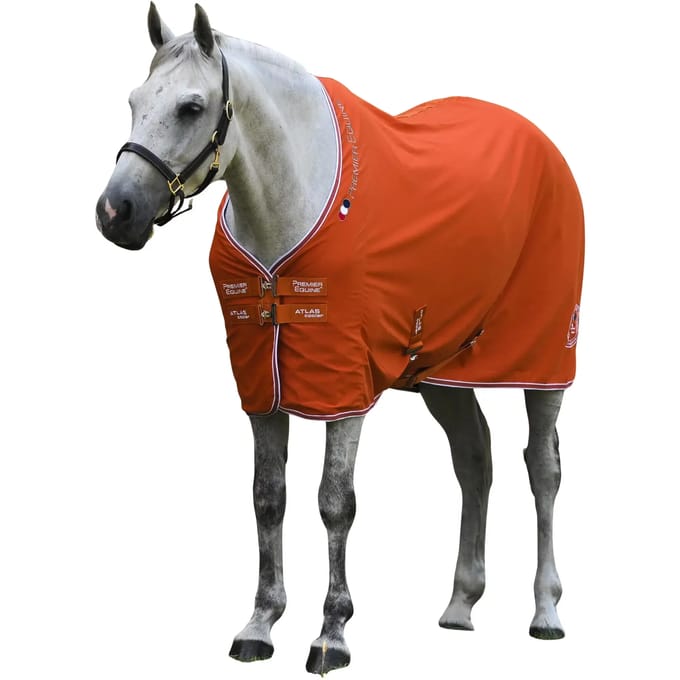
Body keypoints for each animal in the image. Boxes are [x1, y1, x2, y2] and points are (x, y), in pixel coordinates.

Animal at [95, 3, 584, 674]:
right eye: (133, 101)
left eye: (193, 107)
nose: (114, 212)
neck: (292, 209)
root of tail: (544, 146)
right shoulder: (263, 386)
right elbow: (267, 498)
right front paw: (260, 624)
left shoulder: (344, 385)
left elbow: (335, 502)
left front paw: (331, 632)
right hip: (443, 374)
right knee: (474, 459)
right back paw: (461, 603)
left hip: (545, 359)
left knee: (543, 468)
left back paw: (546, 610)